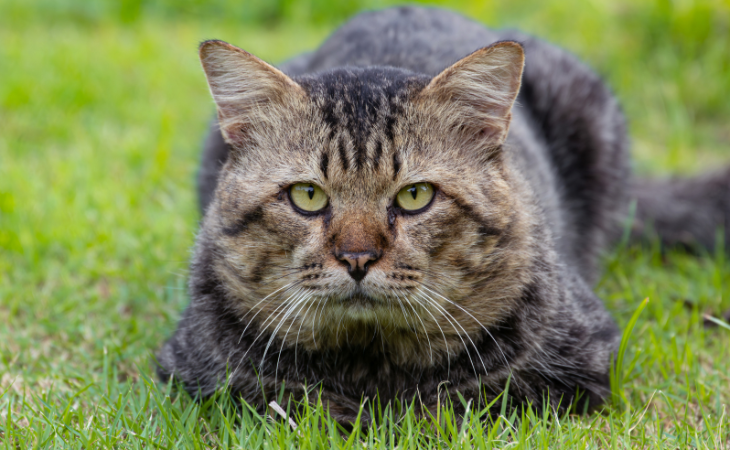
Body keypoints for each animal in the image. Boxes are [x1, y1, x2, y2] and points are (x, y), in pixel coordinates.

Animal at [155, 5, 728, 424]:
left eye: (415, 196)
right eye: (308, 196)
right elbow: (292, 399)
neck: (370, 364)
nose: (357, 258)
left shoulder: (581, 362)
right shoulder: (196, 372)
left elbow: (458, 400)